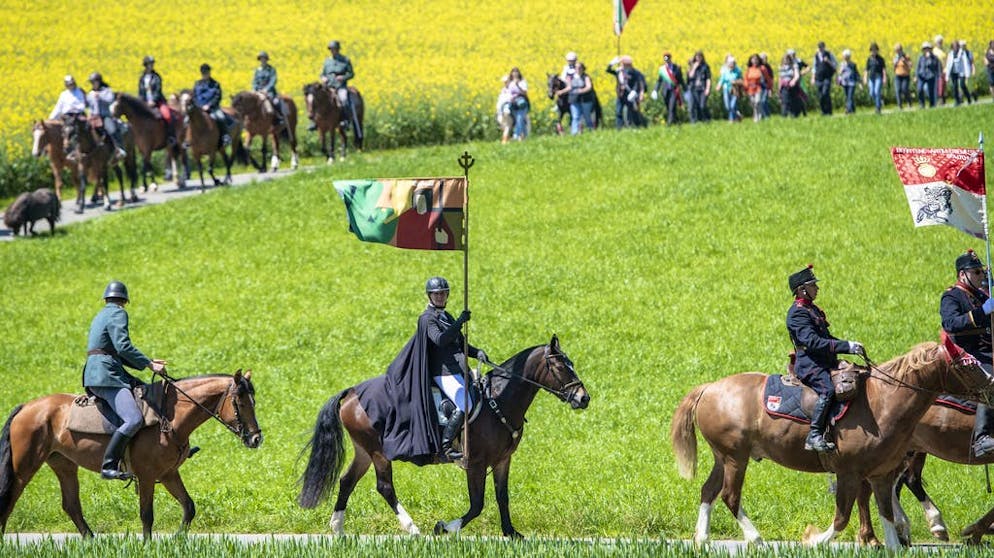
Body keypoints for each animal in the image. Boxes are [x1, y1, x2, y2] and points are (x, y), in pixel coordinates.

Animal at [0, 371, 262, 539]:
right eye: (240, 402)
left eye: (253, 401)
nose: (256, 438)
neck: (170, 417)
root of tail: (27, 406)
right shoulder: (147, 477)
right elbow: (147, 515)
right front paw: (148, 546)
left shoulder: (169, 474)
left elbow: (189, 507)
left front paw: (177, 540)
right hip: (24, 467)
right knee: (9, 501)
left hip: (64, 465)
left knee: (71, 505)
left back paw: (93, 542)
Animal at [297, 335, 590, 537]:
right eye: (561, 367)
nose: (583, 398)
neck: (498, 399)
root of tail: (352, 393)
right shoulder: (476, 463)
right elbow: (477, 504)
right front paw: (445, 528)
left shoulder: (503, 460)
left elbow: (502, 497)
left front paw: (511, 533)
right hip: (378, 451)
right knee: (385, 487)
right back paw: (412, 528)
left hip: (364, 450)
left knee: (347, 481)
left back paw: (338, 529)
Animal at [670, 341, 989, 549]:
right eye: (966, 362)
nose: (991, 383)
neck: (883, 401)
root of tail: (709, 388)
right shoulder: (848, 473)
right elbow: (841, 517)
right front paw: (813, 540)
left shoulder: (881, 474)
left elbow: (885, 513)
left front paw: (891, 542)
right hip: (736, 458)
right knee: (730, 495)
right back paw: (756, 538)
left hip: (722, 457)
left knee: (709, 491)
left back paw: (702, 538)